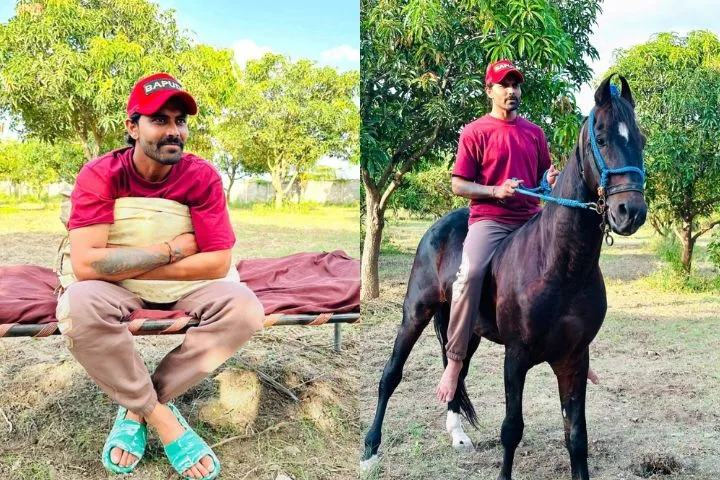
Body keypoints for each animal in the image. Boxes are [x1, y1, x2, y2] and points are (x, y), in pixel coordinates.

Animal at [362, 76, 648, 480]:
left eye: (640, 139)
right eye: (603, 137)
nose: (631, 212)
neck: (560, 267)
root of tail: (437, 227)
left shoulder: (574, 359)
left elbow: (577, 436)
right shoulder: (516, 357)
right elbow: (511, 429)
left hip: (466, 329)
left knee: (456, 368)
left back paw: (457, 435)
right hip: (415, 313)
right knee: (391, 374)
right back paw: (371, 448)